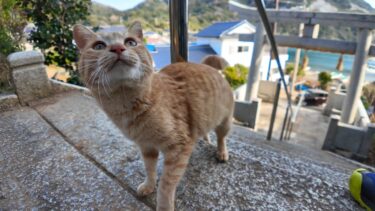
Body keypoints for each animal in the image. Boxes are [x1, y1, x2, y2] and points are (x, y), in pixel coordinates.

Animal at [72, 21, 234, 211]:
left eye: (131, 42)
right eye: (98, 46)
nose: (118, 48)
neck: (128, 105)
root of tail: (207, 66)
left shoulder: (178, 148)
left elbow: (166, 184)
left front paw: (163, 205)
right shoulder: (146, 146)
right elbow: (149, 169)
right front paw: (149, 186)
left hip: (225, 123)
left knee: (221, 138)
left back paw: (221, 152)